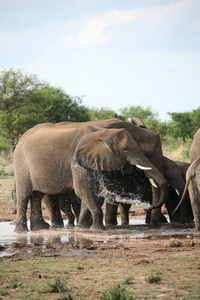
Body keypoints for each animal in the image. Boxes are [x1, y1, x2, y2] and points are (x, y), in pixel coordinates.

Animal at [12, 123, 169, 233]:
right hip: (21, 163)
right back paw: (22, 231)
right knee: (24, 195)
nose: (150, 205)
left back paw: (39, 228)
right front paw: (99, 230)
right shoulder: (75, 159)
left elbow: (91, 192)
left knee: (37, 195)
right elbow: (83, 189)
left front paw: (82, 228)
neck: (102, 132)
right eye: (125, 149)